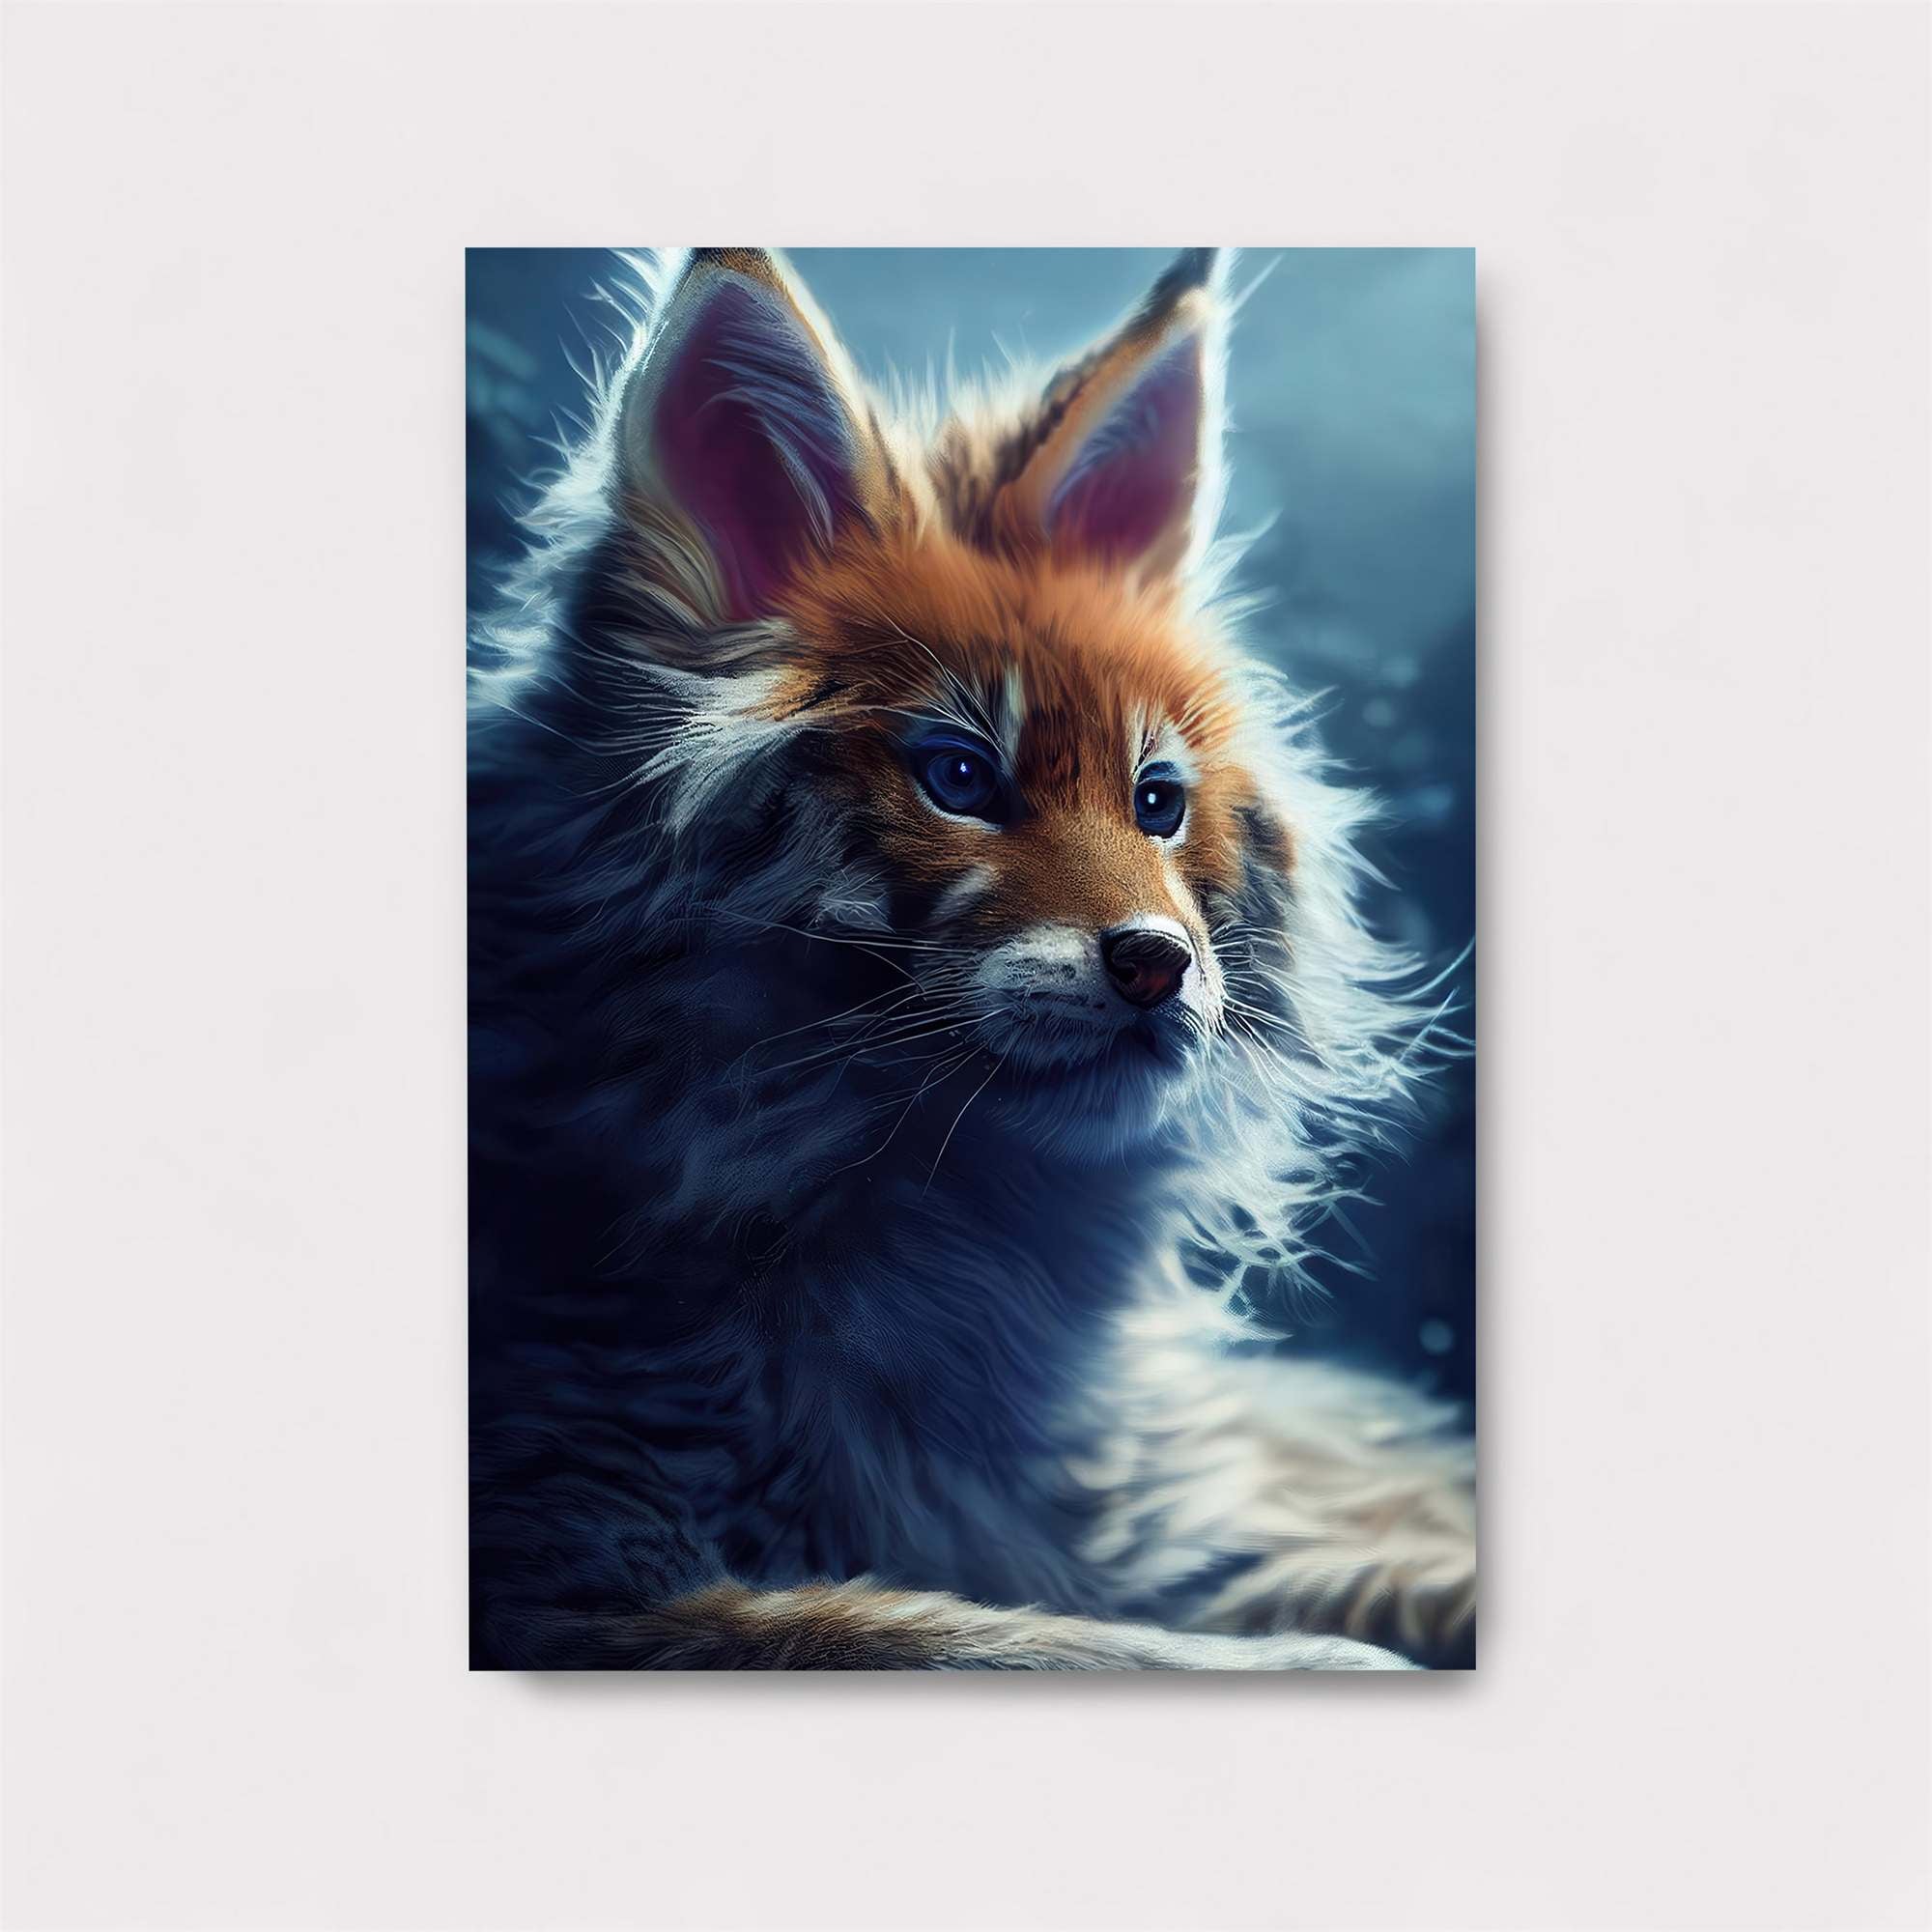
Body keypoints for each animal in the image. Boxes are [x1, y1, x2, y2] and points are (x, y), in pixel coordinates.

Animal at [468, 247, 1475, 1670]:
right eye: (957, 779)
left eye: (1157, 803)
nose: (1160, 964)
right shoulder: (563, 1571)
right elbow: (982, 1637)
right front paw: (1318, 1665)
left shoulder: (1139, 1511)